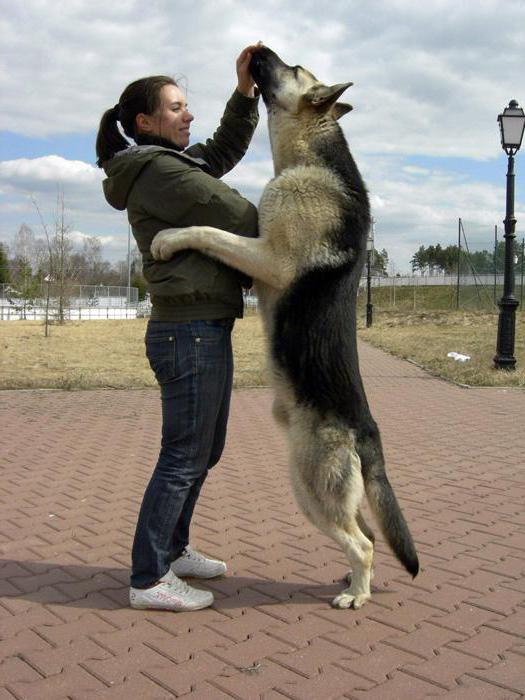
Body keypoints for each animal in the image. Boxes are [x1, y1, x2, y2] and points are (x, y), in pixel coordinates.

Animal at [151, 47, 418, 608]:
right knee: (365, 532)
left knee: (364, 542)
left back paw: (357, 594)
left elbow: (207, 231)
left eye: (292, 69)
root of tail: (365, 431)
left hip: (308, 485)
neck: (309, 158)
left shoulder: (265, 257)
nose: (256, 50)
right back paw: (352, 582)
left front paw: (168, 238)